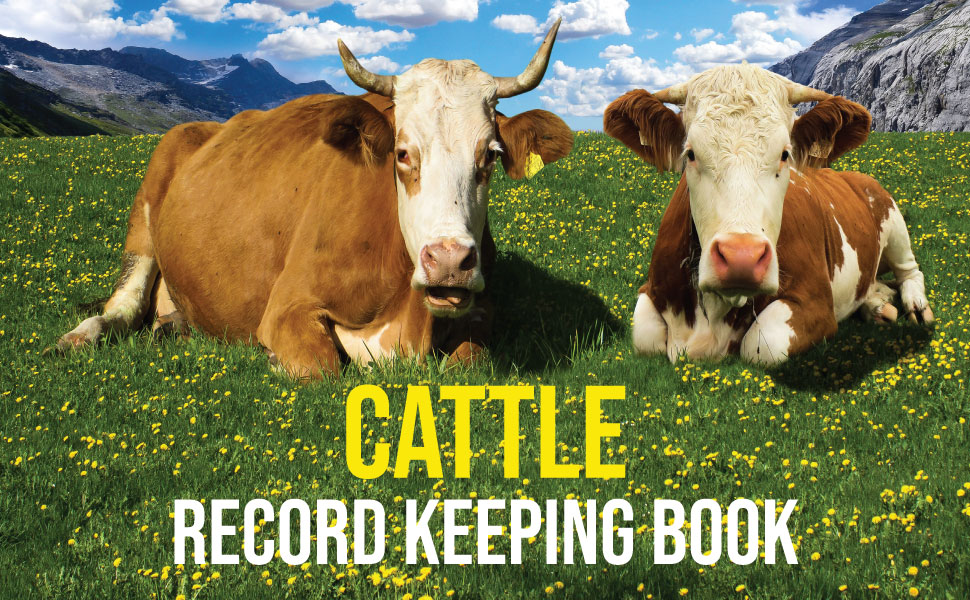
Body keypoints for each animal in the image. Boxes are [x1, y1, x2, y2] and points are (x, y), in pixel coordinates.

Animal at [53, 21, 573, 378]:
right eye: (402, 152)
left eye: (491, 154)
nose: (449, 261)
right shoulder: (288, 305)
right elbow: (322, 368)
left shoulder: (483, 308)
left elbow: (471, 361)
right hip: (145, 215)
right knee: (121, 306)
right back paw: (75, 338)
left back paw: (172, 326)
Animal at [604, 64, 933, 365]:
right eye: (691, 154)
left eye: (785, 154)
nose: (741, 258)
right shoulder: (650, 292)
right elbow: (644, 336)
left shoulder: (816, 305)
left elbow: (762, 344)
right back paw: (876, 303)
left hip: (892, 219)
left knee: (909, 271)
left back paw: (916, 306)